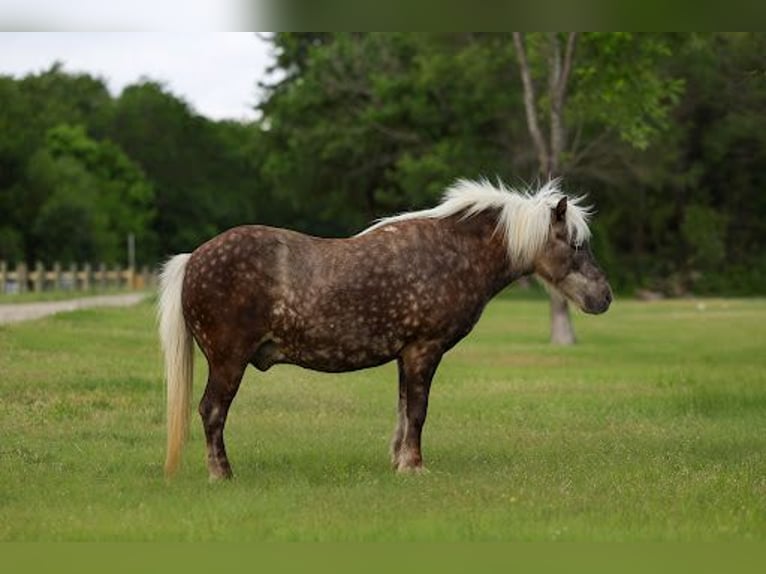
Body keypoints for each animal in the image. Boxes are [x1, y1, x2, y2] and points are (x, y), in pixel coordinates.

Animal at [157, 179, 612, 480]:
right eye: (576, 244)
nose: (603, 297)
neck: (451, 254)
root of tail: (194, 258)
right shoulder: (424, 350)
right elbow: (417, 411)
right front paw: (414, 465)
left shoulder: (405, 355)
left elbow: (402, 410)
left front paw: (399, 462)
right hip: (228, 362)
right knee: (212, 411)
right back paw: (222, 474)